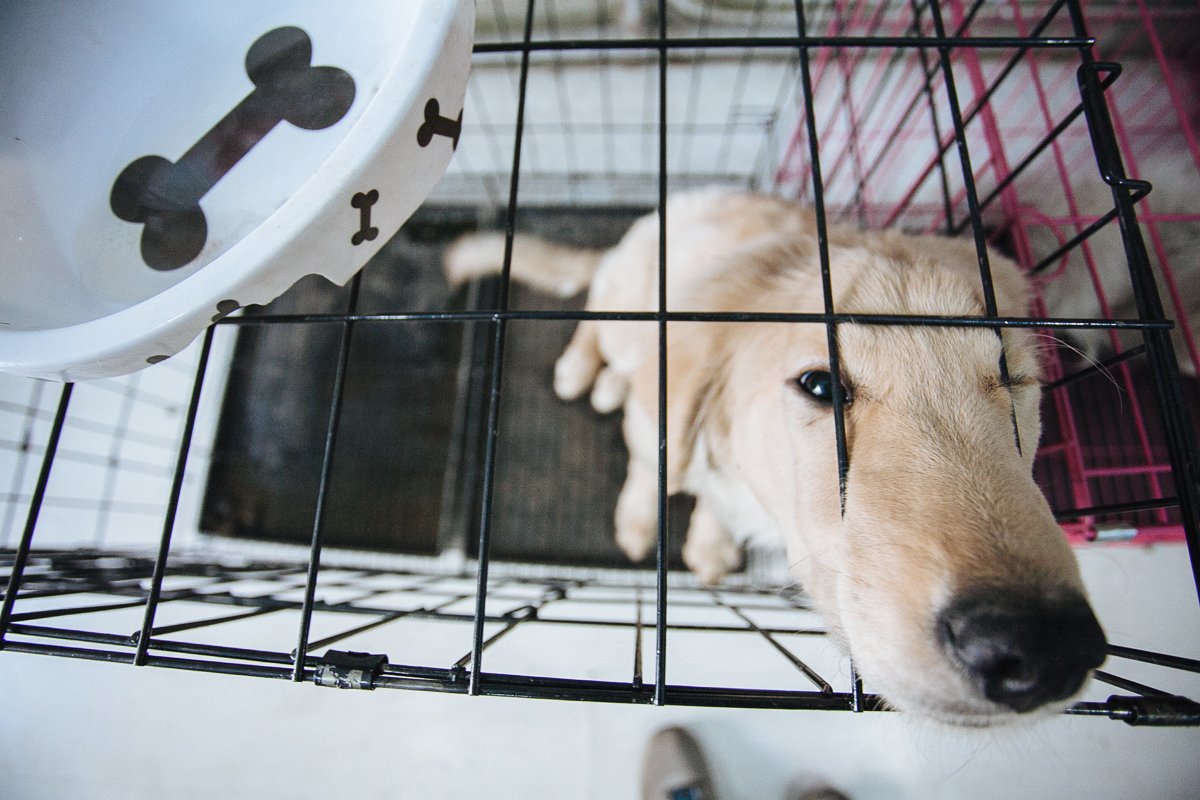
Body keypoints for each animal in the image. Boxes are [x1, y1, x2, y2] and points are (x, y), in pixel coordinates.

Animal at [448, 189, 1104, 724]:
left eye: (1013, 376)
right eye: (819, 386)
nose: (1043, 645)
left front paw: (710, 545)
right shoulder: (660, 420)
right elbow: (651, 466)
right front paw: (639, 523)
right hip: (622, 304)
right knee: (594, 317)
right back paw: (581, 368)